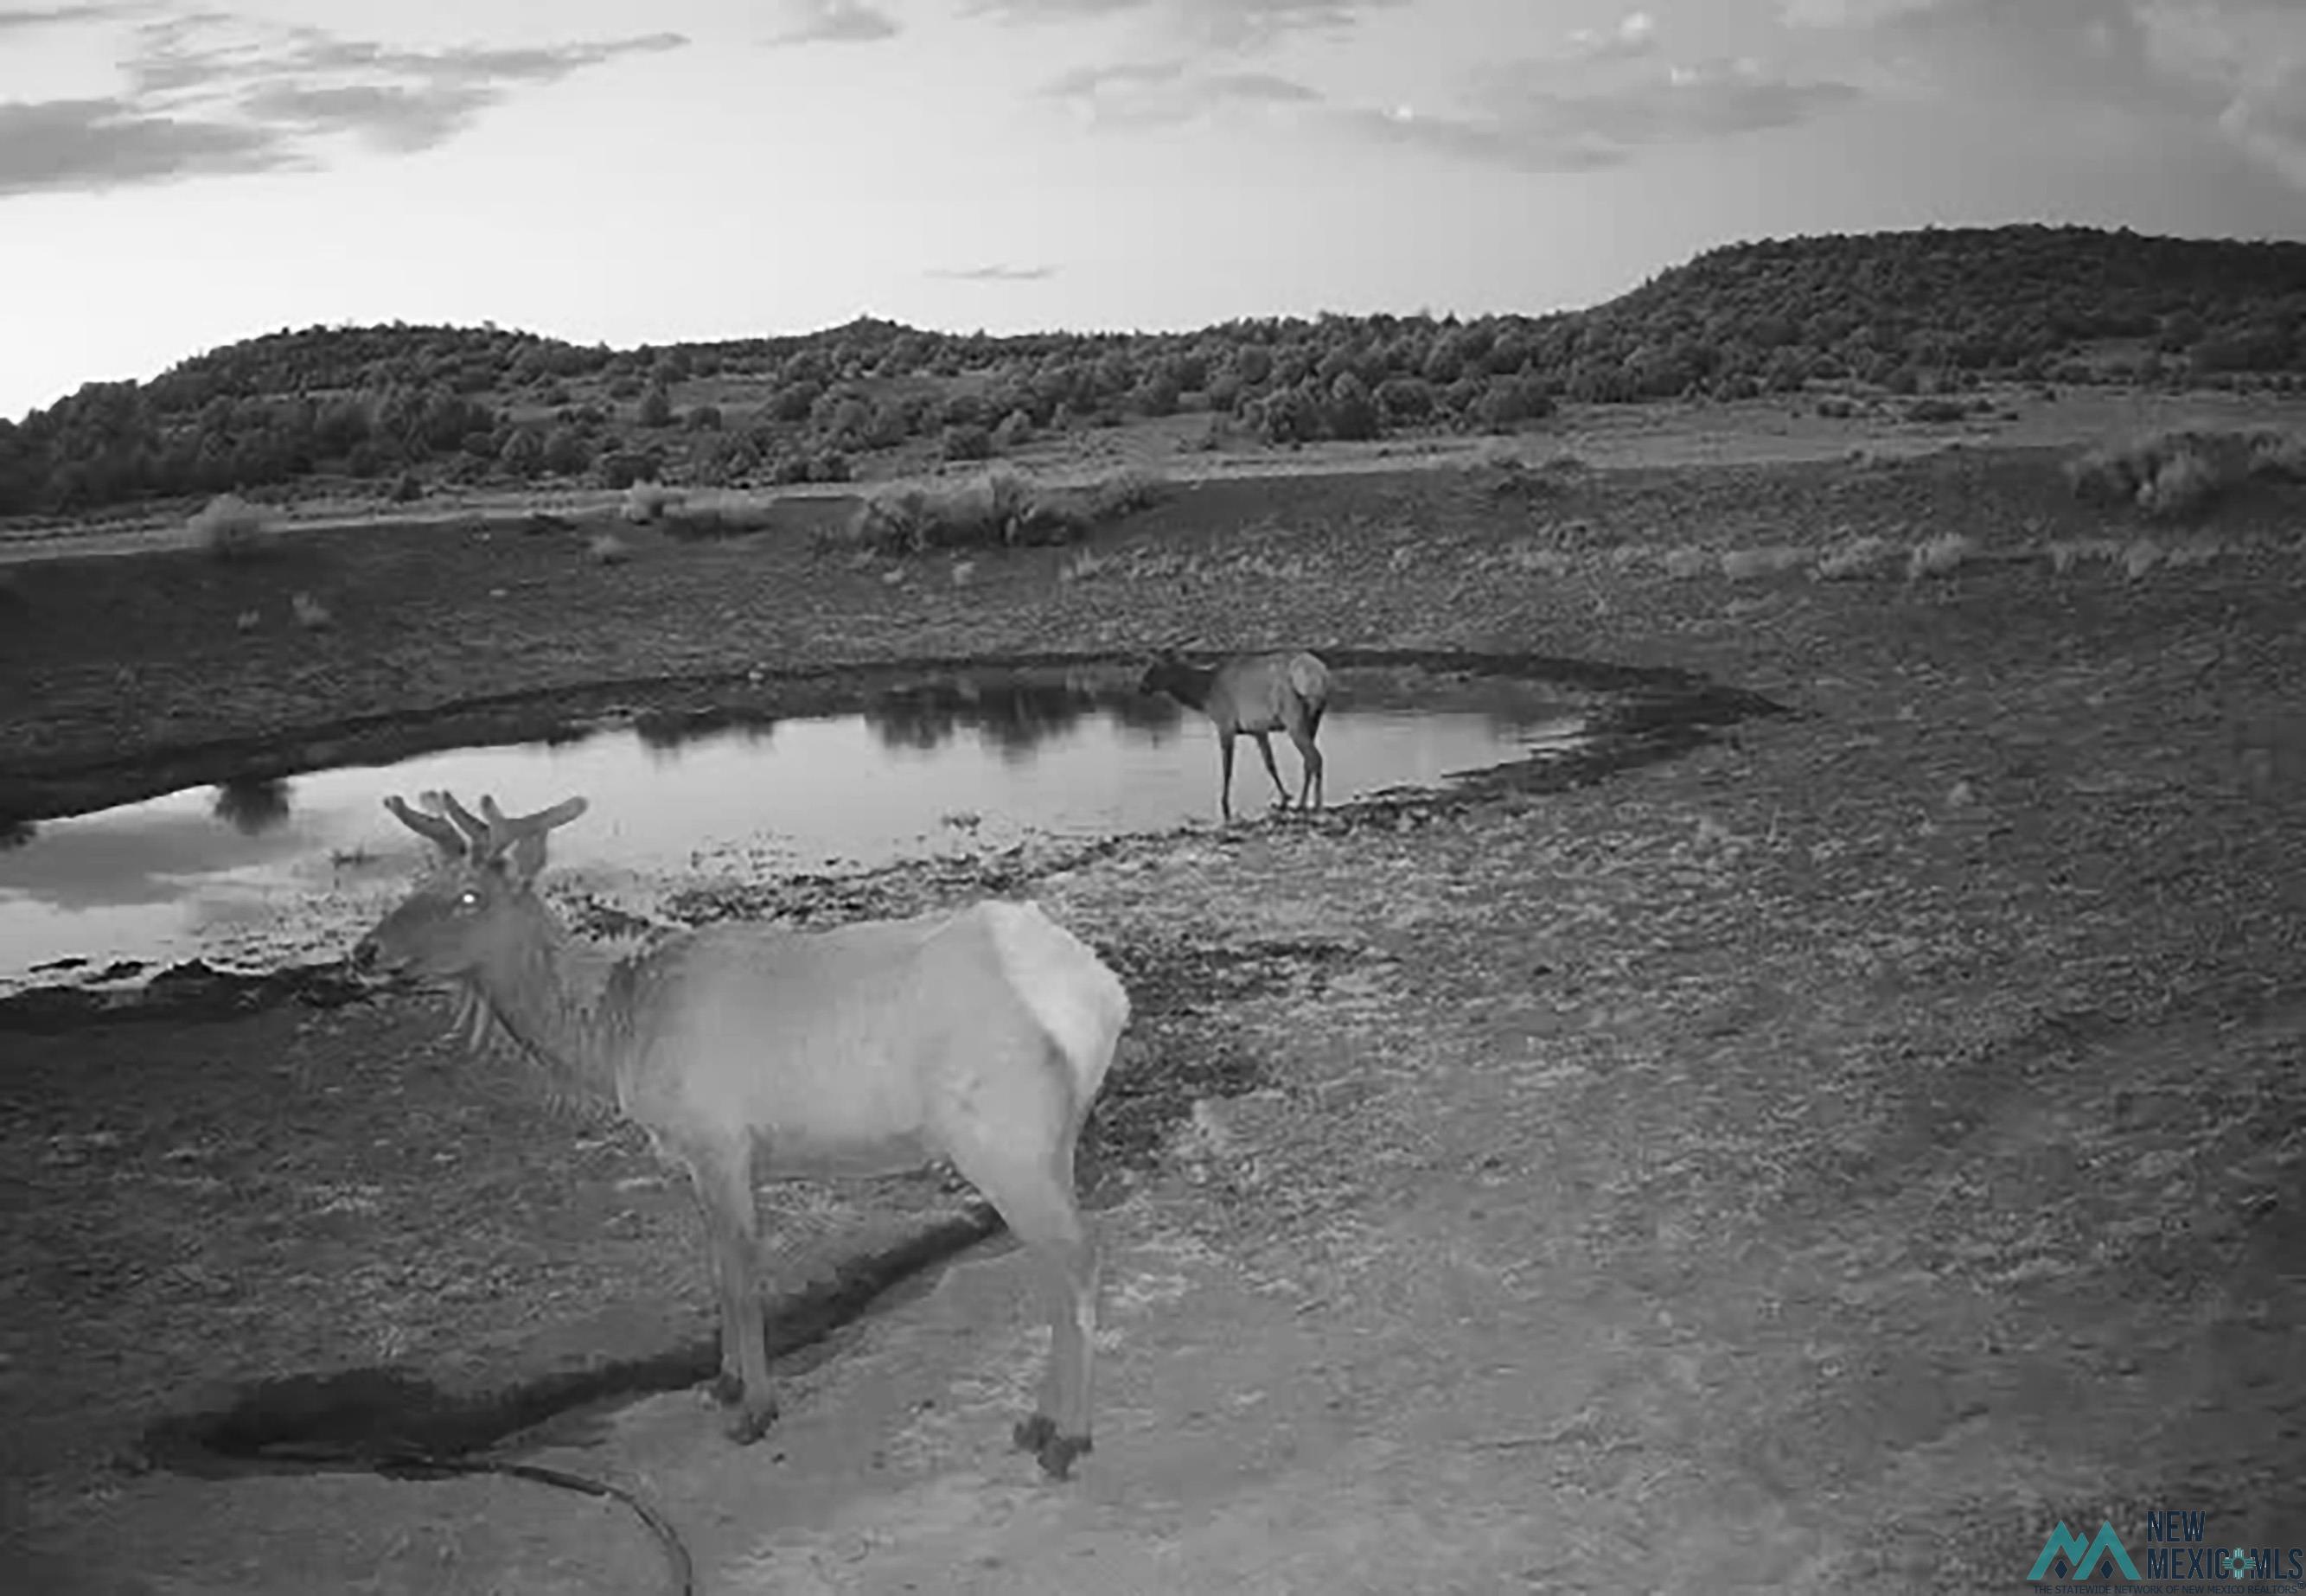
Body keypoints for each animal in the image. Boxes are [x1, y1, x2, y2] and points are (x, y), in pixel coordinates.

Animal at [346, 793, 1129, 1476]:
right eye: (418, 880)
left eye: (467, 897)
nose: (364, 951)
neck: (617, 1040)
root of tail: (1103, 994)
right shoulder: (703, 1159)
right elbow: (716, 1271)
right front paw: (722, 1383)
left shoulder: (719, 1140)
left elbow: (744, 1277)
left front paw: (755, 1409)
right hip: (1051, 1137)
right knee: (1058, 1260)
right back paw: (1040, 1420)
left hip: (1000, 1135)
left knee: (1077, 1257)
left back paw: (1069, 1436)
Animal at [1139, 650, 1337, 820]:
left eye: (1155, 668)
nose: (1142, 687)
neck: (1204, 695)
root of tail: (1321, 675)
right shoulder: (1258, 729)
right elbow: (1270, 764)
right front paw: (1285, 796)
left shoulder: (1225, 725)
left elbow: (1227, 768)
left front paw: (1224, 801)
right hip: (1314, 718)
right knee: (1308, 761)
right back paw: (1305, 803)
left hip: (1292, 717)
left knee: (1314, 757)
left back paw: (1314, 805)